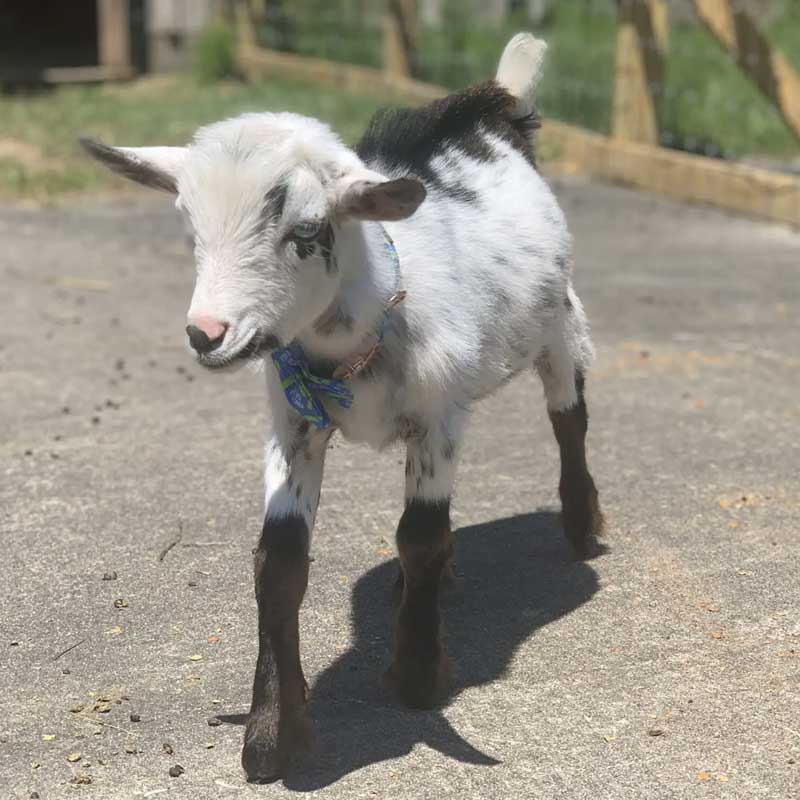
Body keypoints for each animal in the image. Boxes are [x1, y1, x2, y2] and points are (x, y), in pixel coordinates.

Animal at [81, 34, 604, 783]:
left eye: (306, 231)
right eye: (189, 231)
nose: (207, 334)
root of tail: (491, 109)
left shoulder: (439, 419)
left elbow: (420, 535)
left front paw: (416, 675)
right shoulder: (294, 424)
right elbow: (279, 564)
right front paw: (273, 734)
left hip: (561, 322)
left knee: (569, 420)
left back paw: (581, 526)